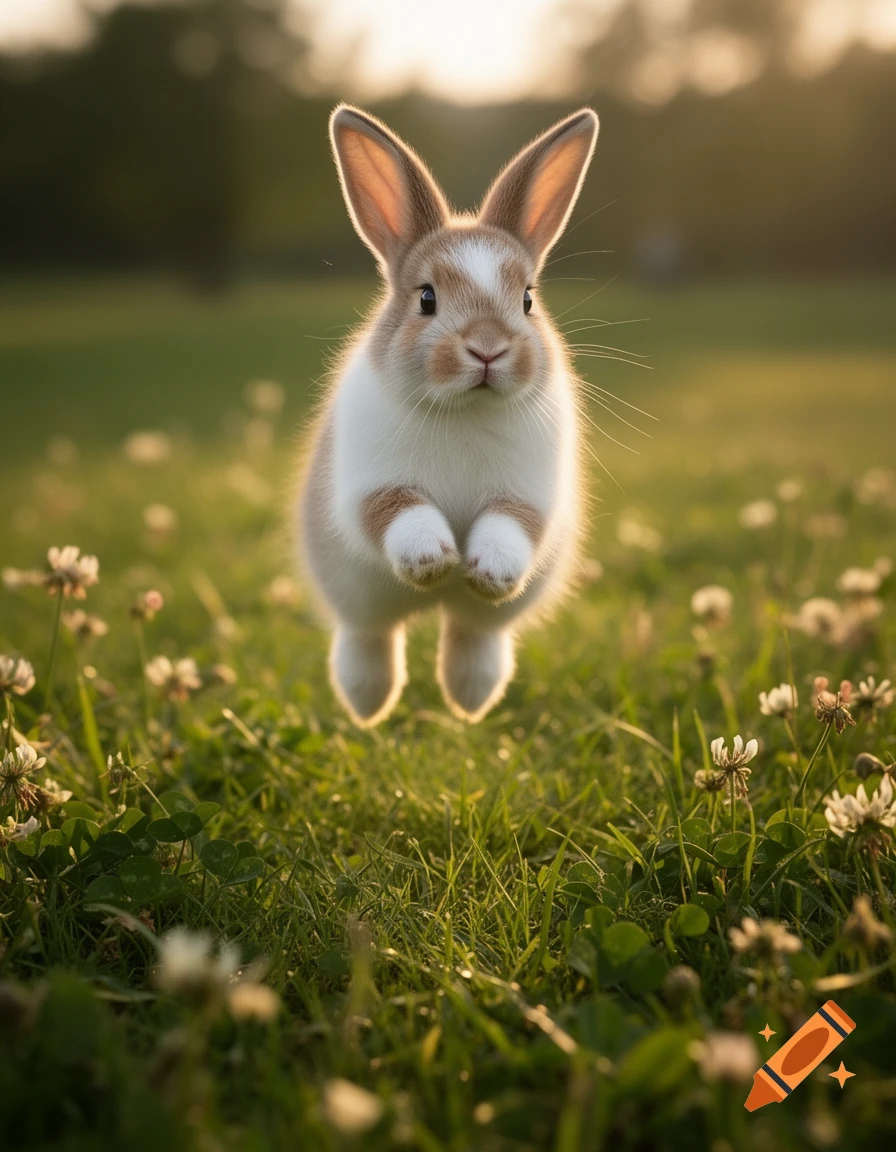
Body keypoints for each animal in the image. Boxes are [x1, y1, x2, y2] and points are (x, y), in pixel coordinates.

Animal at [297, 104, 600, 727]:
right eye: (427, 298)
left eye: (528, 299)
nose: (487, 349)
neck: (465, 409)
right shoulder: (371, 486)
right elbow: (400, 510)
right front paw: (433, 560)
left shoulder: (529, 496)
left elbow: (511, 524)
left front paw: (487, 570)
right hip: (356, 600)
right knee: (369, 637)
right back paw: (369, 705)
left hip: (481, 623)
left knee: (471, 633)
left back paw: (469, 701)